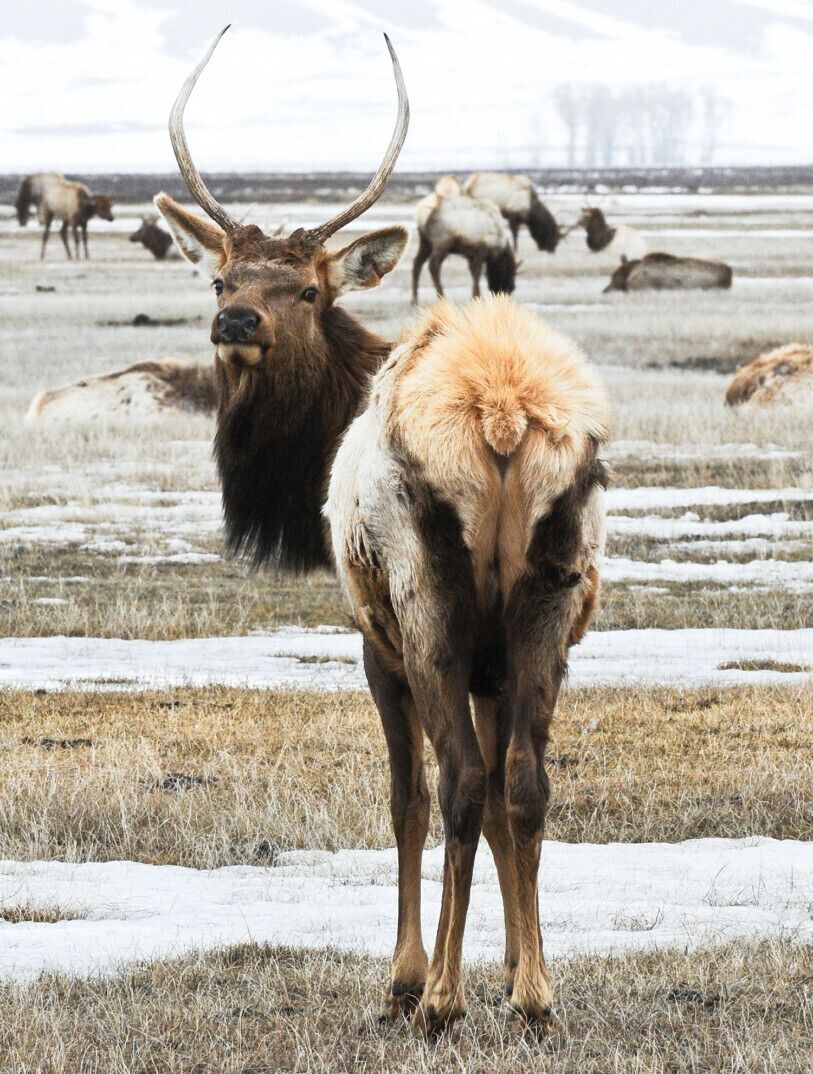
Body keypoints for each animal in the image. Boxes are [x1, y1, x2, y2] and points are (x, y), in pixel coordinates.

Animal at [156, 27, 610, 1038]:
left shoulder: (376, 643)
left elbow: (403, 799)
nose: (233, 320)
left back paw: (436, 998)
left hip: (429, 602)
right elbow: (510, 804)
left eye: (308, 289)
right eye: (221, 274)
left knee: (458, 784)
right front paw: (518, 968)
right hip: (544, 604)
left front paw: (405, 977)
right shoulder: (498, 661)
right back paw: (534, 997)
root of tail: (502, 417)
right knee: (525, 782)